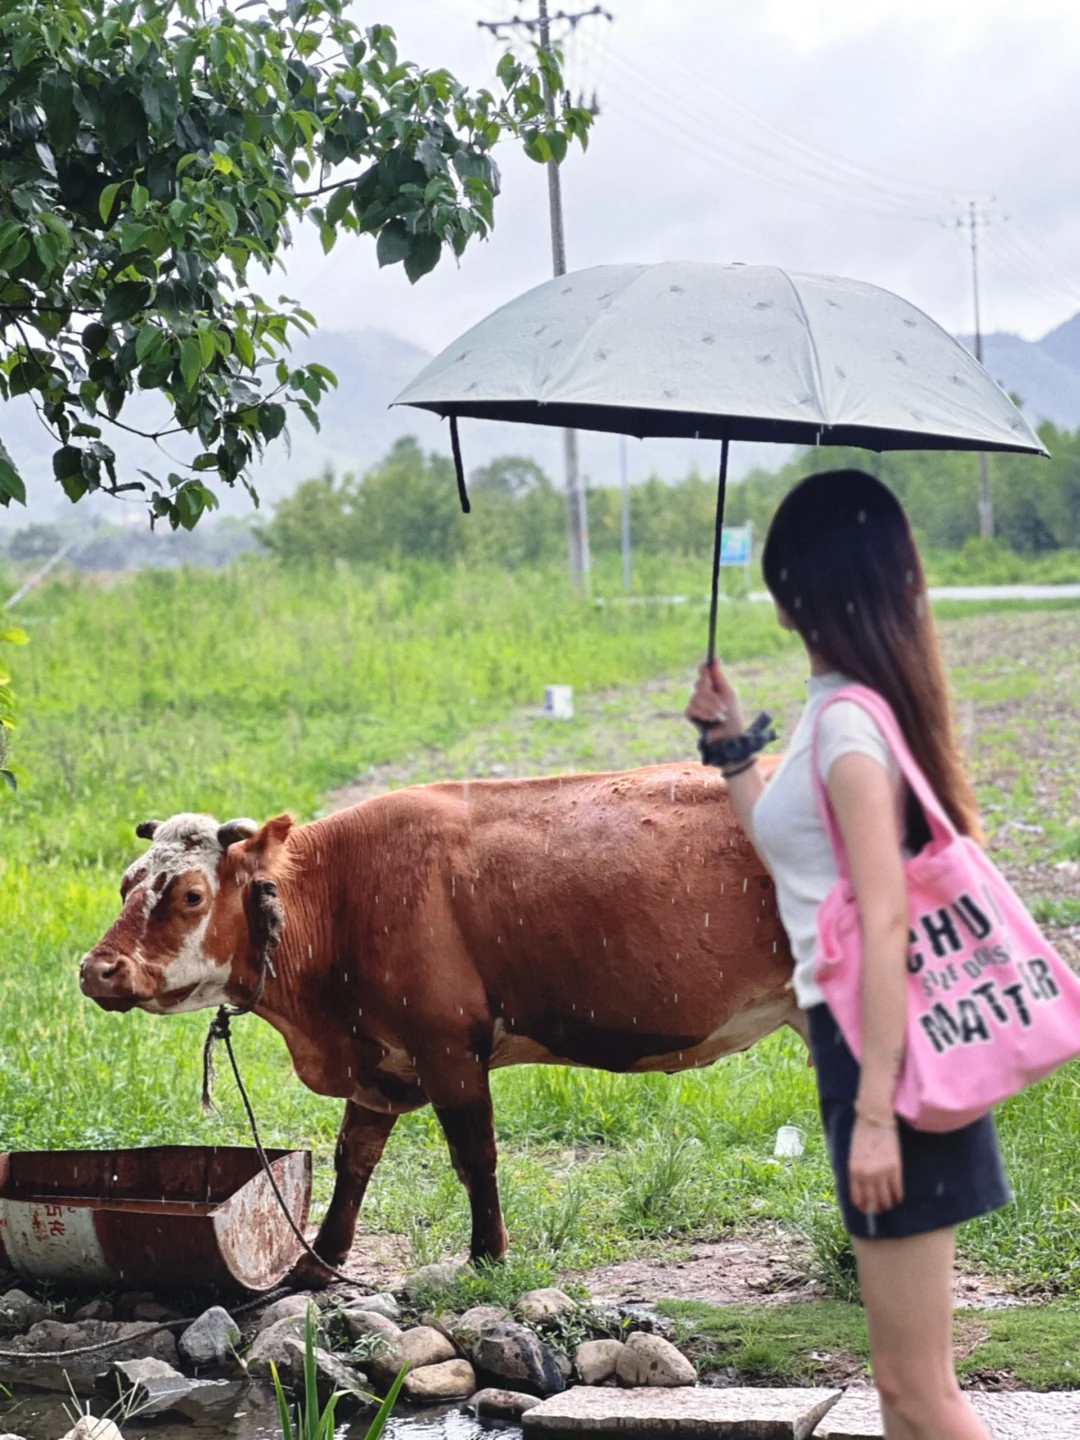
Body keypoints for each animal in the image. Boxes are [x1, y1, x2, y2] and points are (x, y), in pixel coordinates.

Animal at [80, 760, 800, 1278]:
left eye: (191, 895)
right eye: (125, 884)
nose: (97, 969)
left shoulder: (447, 1045)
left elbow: (475, 1153)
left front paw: (487, 1255)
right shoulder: (381, 1058)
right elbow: (354, 1157)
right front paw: (322, 1259)